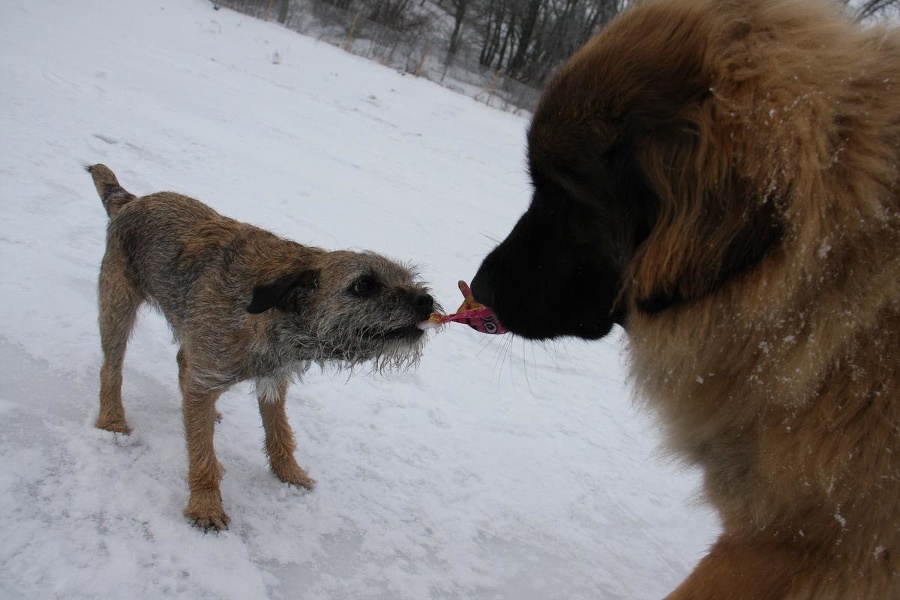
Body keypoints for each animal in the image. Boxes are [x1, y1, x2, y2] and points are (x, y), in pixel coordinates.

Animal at [89, 164, 436, 528]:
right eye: (364, 284)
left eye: (409, 278)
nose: (426, 300)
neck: (270, 311)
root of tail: (129, 200)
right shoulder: (210, 373)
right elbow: (202, 454)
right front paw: (206, 504)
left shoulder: (273, 378)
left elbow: (279, 431)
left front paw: (290, 475)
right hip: (117, 304)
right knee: (111, 367)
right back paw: (112, 421)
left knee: (183, 363)